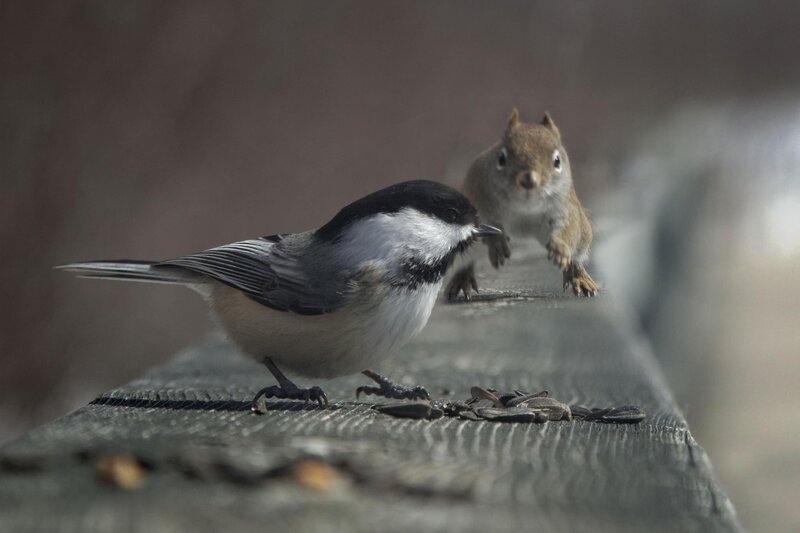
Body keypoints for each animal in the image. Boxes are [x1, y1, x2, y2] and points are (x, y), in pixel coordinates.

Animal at [447, 108, 598, 299]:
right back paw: (462, 279)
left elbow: (568, 229)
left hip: (583, 233)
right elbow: (487, 223)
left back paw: (578, 276)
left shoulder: (565, 208)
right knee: (467, 262)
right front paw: (497, 243)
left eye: (557, 161)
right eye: (501, 159)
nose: (528, 179)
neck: (526, 208)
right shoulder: (480, 198)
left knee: (576, 256)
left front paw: (560, 248)